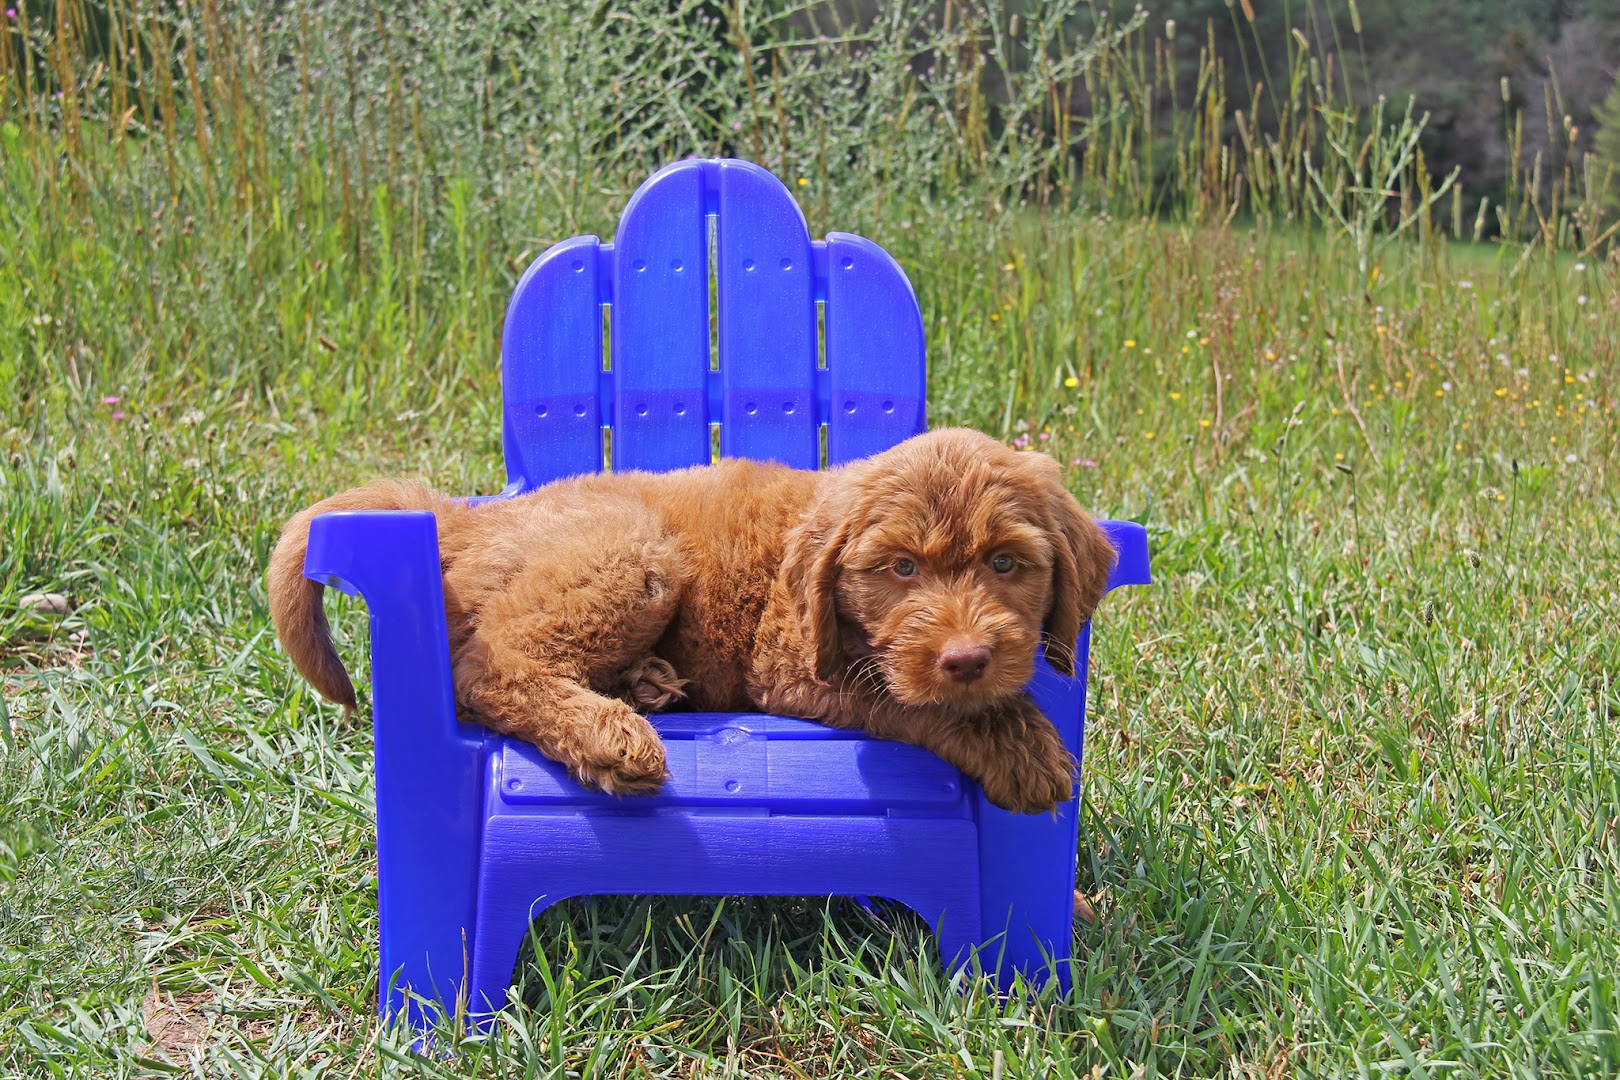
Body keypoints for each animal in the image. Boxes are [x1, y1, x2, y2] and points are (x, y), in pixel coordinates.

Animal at [272, 427, 1121, 816]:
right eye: (901, 569)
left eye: (1007, 564)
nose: (968, 658)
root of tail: (463, 517)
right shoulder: (792, 665)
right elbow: (912, 700)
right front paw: (1016, 746)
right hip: (634, 552)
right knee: (489, 667)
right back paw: (609, 736)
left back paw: (645, 685)